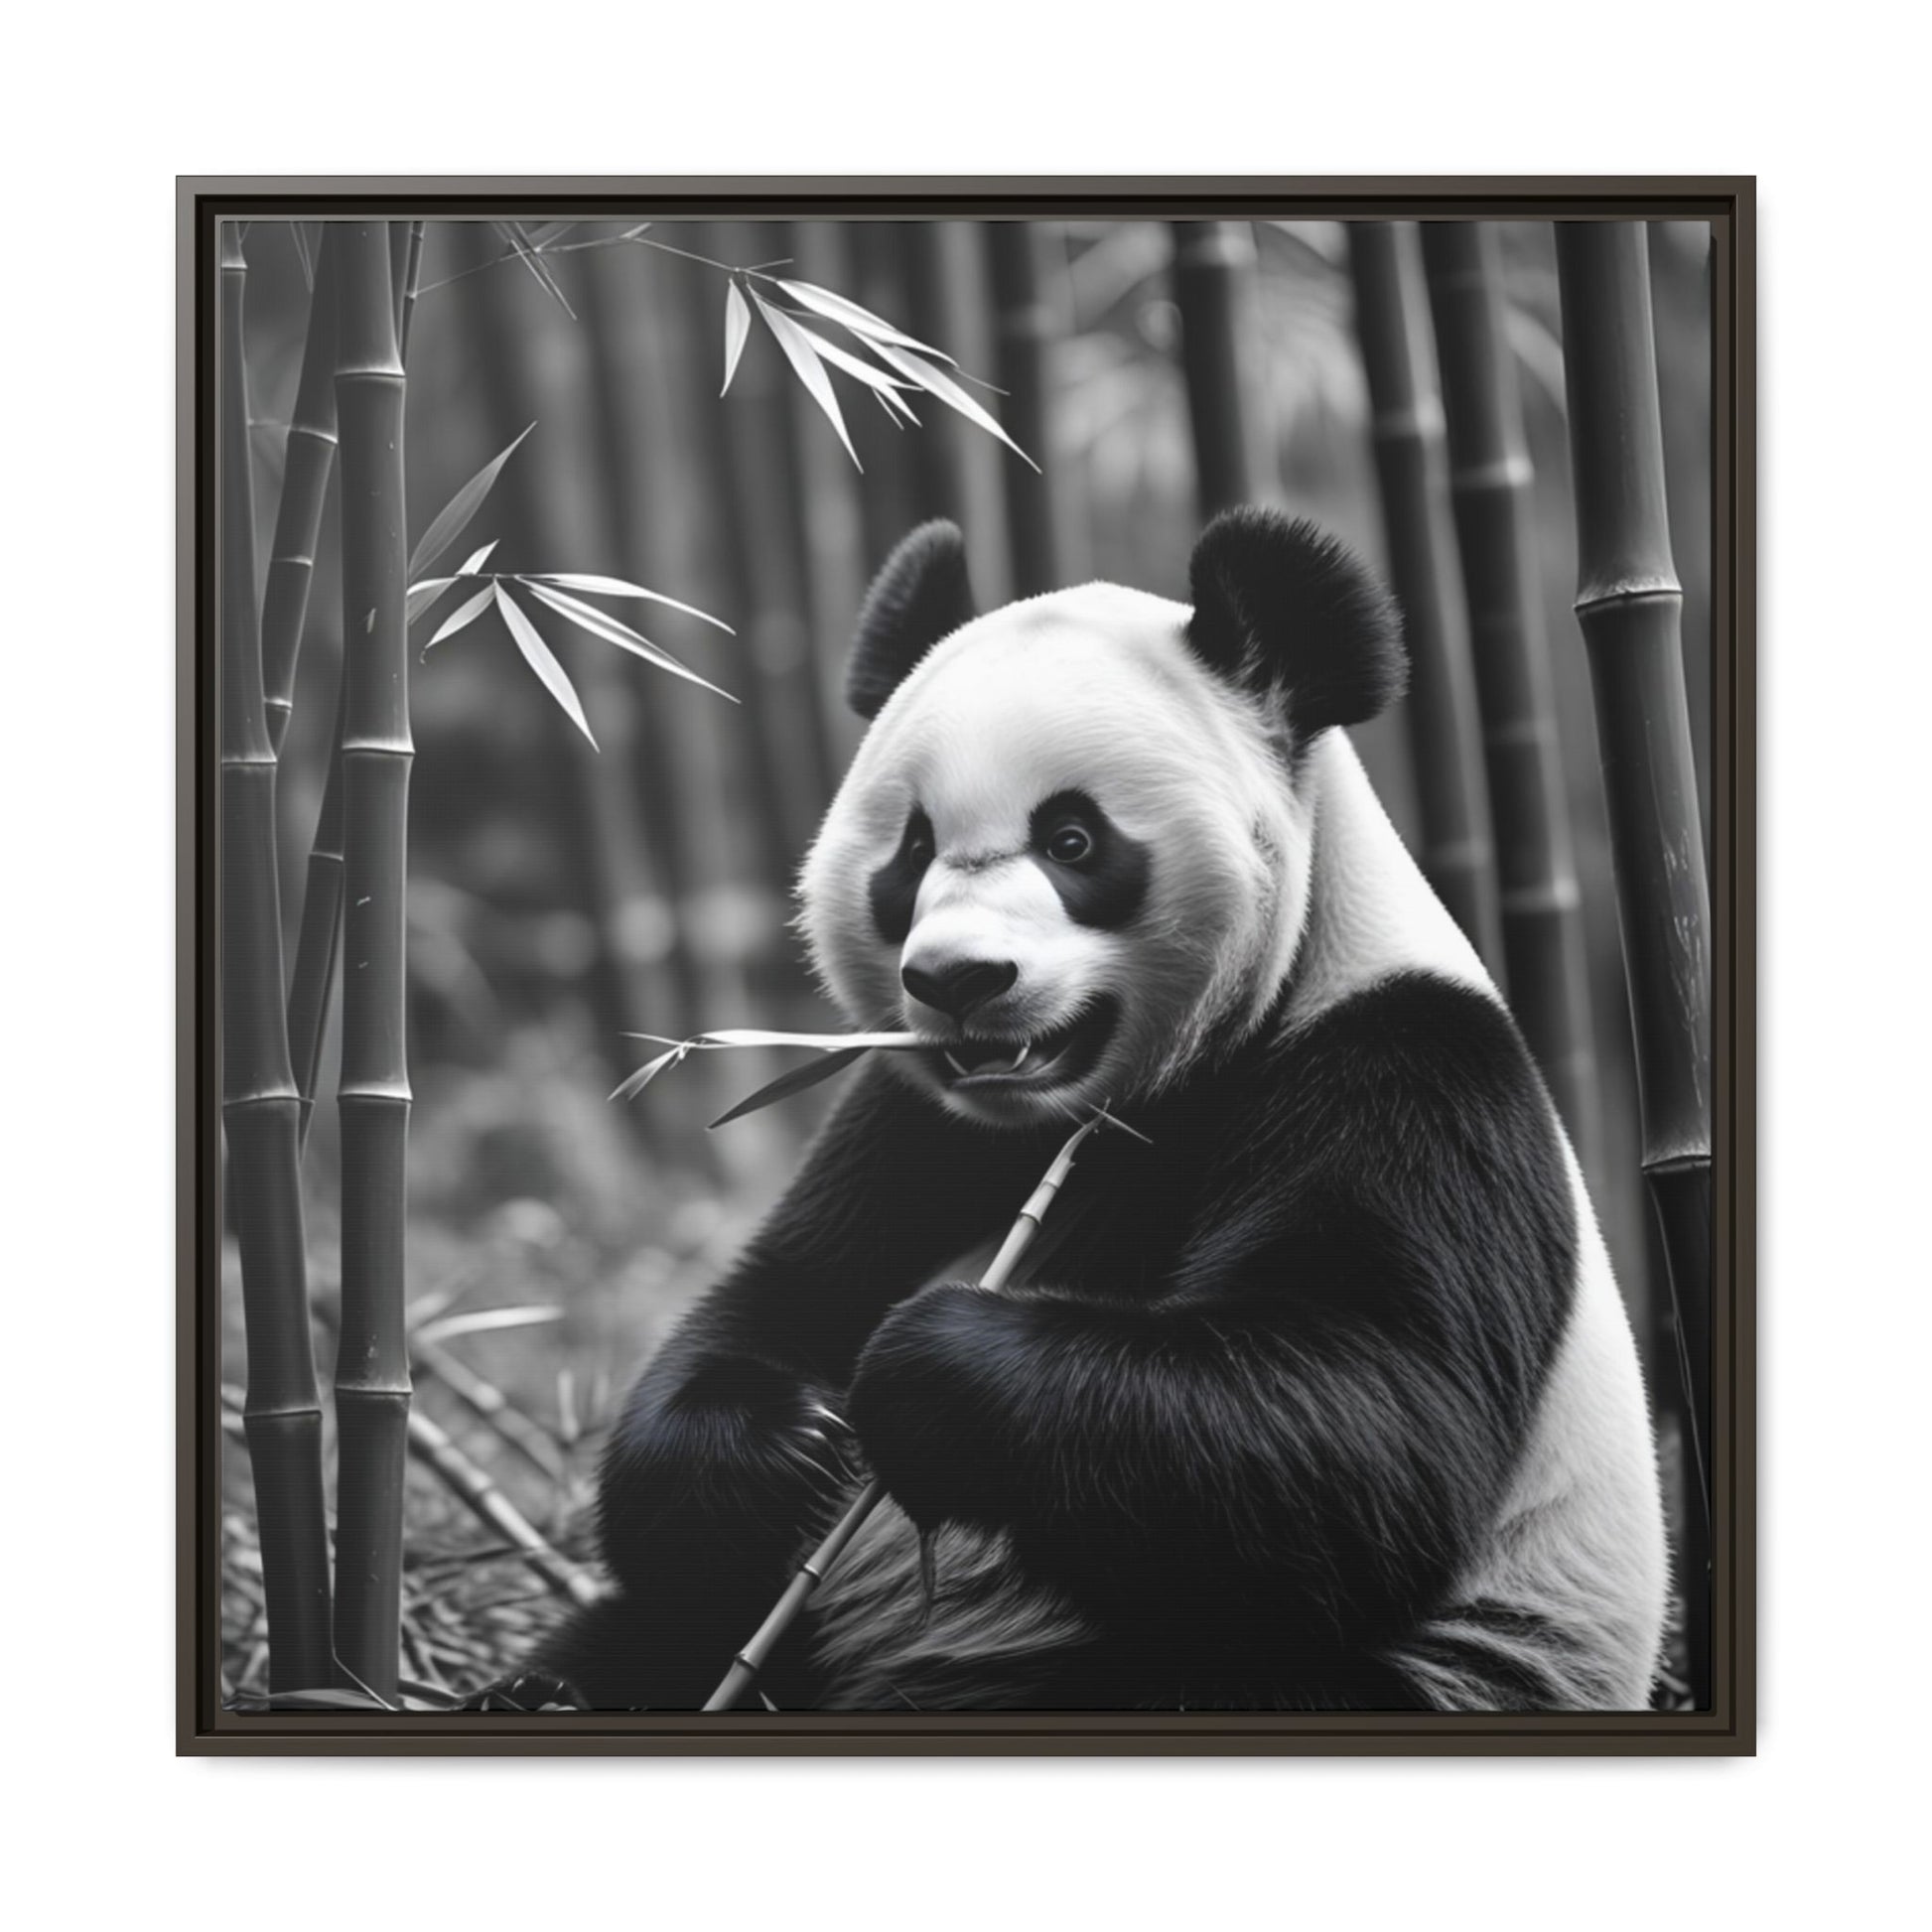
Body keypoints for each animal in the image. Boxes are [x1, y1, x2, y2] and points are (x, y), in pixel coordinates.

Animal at [531, 508, 1669, 1713]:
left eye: (1071, 840)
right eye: (914, 850)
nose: (959, 979)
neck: (1107, 1109)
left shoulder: (1407, 1071)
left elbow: (1361, 1424)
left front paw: (924, 1366)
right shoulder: (913, 1120)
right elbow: (766, 1310)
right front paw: (786, 1443)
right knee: (641, 1637)